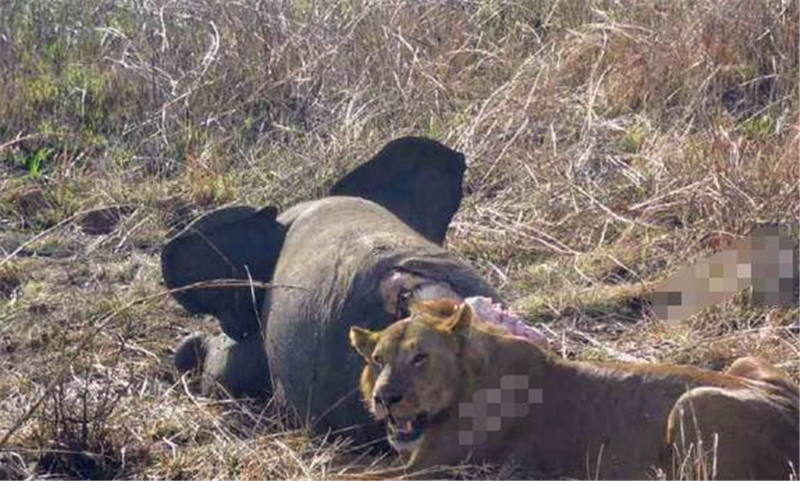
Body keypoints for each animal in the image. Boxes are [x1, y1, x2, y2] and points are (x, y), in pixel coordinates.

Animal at [352, 300, 800, 476]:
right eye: (377, 360)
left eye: (420, 358)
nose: (384, 398)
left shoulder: (435, 469)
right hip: (744, 362)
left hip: (696, 400)